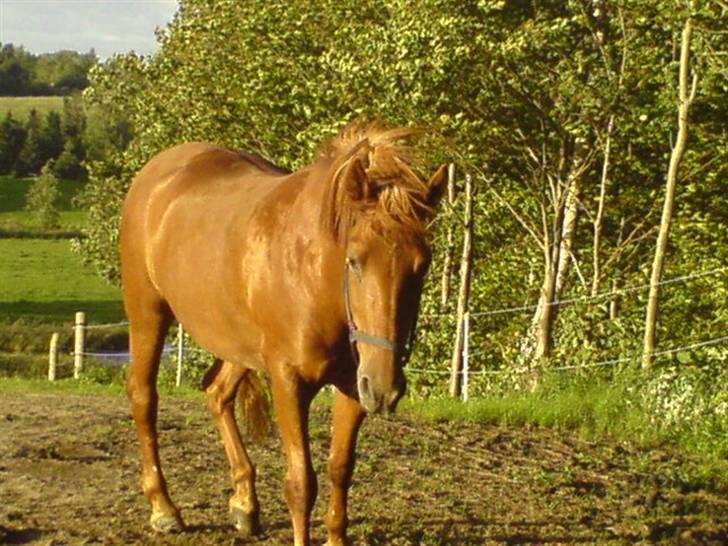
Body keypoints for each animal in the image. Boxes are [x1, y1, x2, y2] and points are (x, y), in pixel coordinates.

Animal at [119, 123, 446, 544]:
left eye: (422, 266)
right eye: (355, 260)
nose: (385, 387)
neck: (313, 276)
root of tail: (156, 171)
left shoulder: (354, 386)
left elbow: (340, 468)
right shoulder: (289, 383)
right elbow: (301, 484)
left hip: (239, 344)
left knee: (217, 394)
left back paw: (244, 505)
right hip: (148, 313)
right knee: (144, 397)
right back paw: (164, 508)